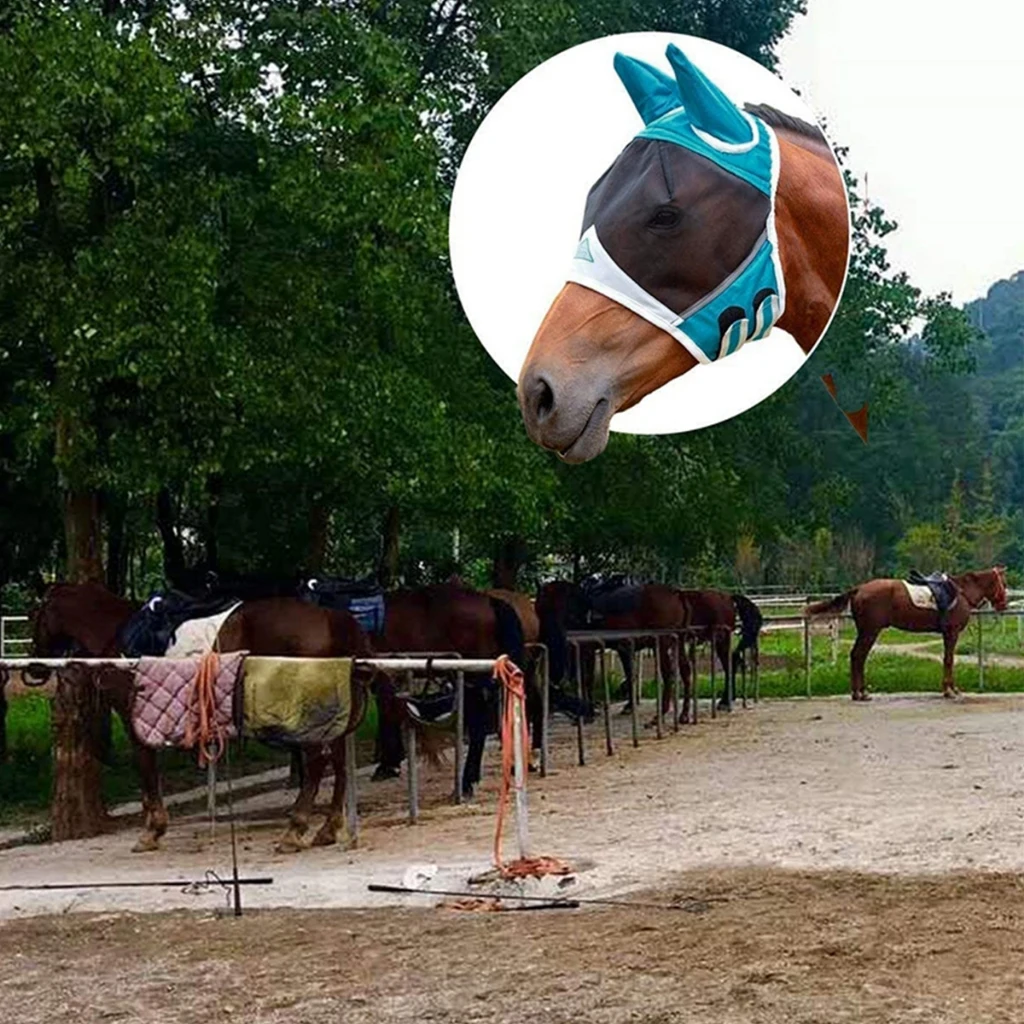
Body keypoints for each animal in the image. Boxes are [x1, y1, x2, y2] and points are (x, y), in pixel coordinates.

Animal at [29, 581, 371, 853]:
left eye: (36, 616)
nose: (35, 669)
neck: (117, 636)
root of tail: (330, 618)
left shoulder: (133, 718)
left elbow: (146, 768)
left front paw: (152, 830)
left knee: (316, 762)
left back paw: (294, 831)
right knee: (337, 760)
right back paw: (328, 828)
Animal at [804, 567, 1009, 700]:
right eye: (1003, 583)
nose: (1003, 605)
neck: (961, 593)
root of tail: (859, 589)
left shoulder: (947, 634)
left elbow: (947, 659)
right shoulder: (952, 633)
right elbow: (949, 660)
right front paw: (950, 690)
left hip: (865, 631)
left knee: (857, 656)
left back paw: (859, 692)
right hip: (870, 631)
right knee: (858, 656)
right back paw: (860, 693)